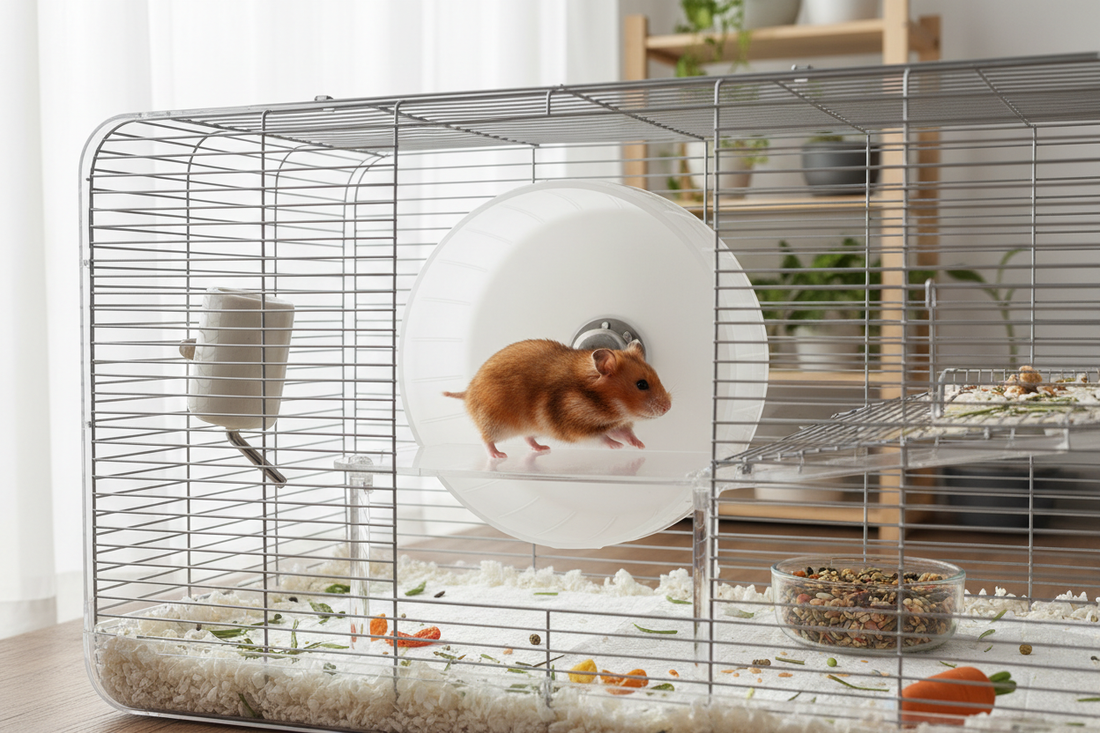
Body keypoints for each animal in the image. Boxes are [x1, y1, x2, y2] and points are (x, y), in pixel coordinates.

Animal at [443, 339, 672, 460]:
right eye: (641, 384)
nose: (669, 407)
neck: (607, 406)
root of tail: (467, 392)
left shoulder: (614, 423)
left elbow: (625, 433)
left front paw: (640, 446)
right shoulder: (575, 427)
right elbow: (601, 438)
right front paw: (618, 447)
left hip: (531, 427)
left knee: (527, 438)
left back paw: (543, 449)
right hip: (496, 423)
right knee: (485, 439)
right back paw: (499, 455)